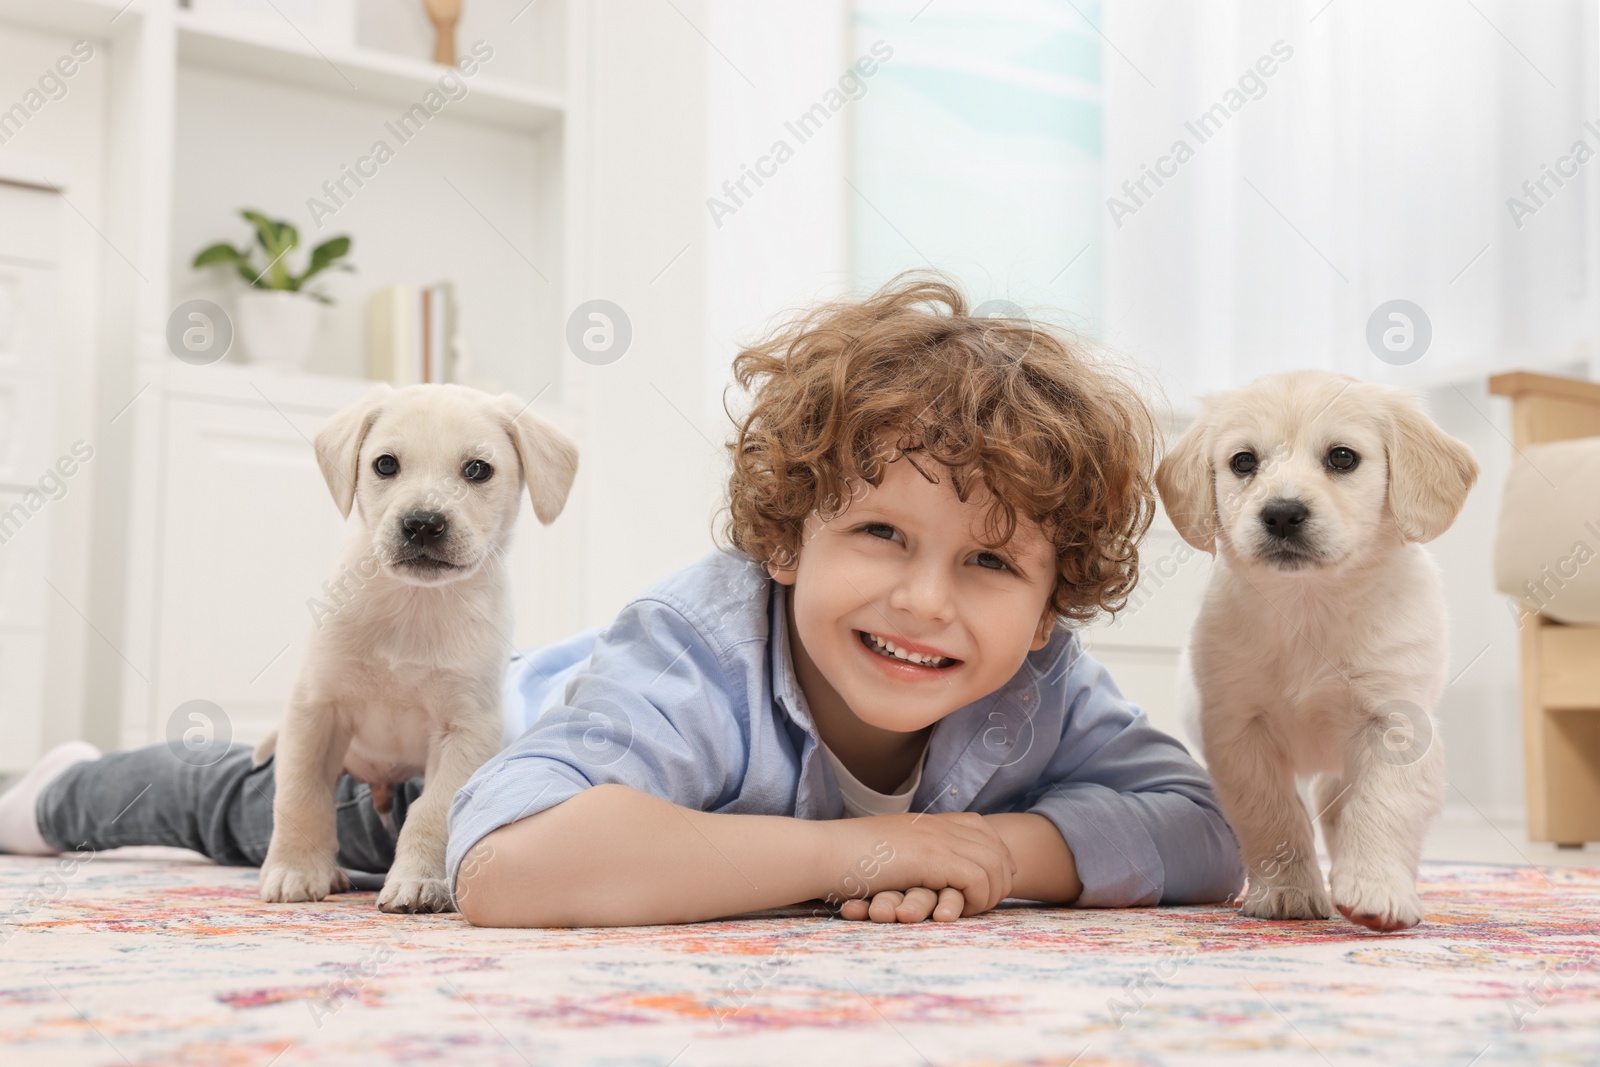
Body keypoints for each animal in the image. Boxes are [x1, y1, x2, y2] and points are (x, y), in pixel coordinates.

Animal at [262, 388, 582, 915]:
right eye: (385, 464)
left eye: (478, 470)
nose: (423, 524)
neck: (415, 607)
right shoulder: (316, 709)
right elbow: (300, 794)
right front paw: (297, 870)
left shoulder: (466, 728)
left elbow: (431, 810)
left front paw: (419, 881)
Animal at [1158, 371, 1478, 927]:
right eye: (1244, 462)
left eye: (1342, 458)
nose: (1282, 515)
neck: (1309, 607)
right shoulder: (1239, 731)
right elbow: (1273, 816)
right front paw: (1286, 890)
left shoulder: (1396, 724)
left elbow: (1381, 807)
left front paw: (1375, 889)